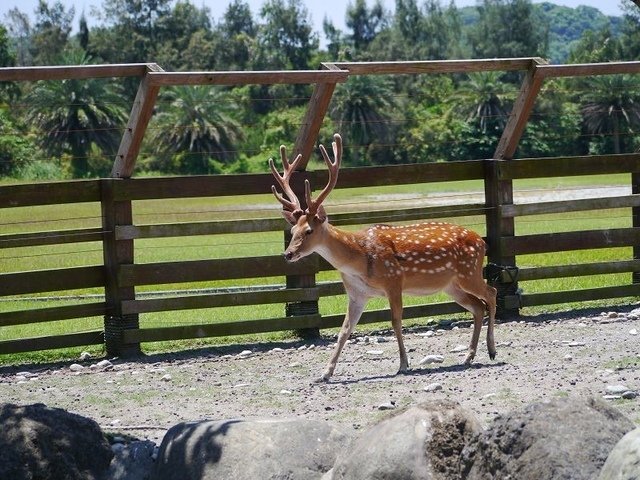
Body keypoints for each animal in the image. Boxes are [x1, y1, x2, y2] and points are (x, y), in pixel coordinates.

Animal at [268, 134, 498, 382]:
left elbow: (396, 321)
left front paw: (404, 364)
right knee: (477, 306)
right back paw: (469, 356)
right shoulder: (356, 293)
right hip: (451, 285)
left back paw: (492, 350)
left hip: (469, 271)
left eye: (309, 231)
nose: (288, 254)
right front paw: (325, 373)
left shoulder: (394, 280)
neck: (359, 261)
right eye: (293, 231)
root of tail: (482, 240)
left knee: (491, 293)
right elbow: (344, 329)